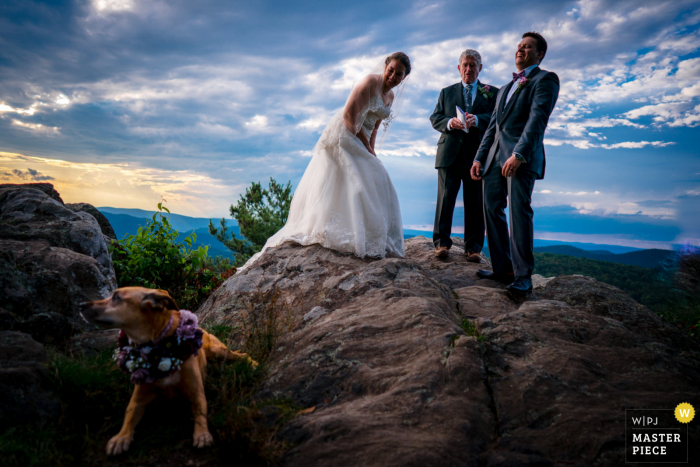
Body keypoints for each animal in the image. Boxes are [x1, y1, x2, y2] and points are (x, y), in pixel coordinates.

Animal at [80, 288, 254, 456]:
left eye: (116, 297)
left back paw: (253, 364)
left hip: (218, 350)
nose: (81, 304)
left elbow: (200, 414)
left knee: (242, 355)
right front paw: (120, 438)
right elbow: (128, 418)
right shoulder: (138, 400)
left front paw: (202, 434)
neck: (157, 348)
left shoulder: (196, 393)